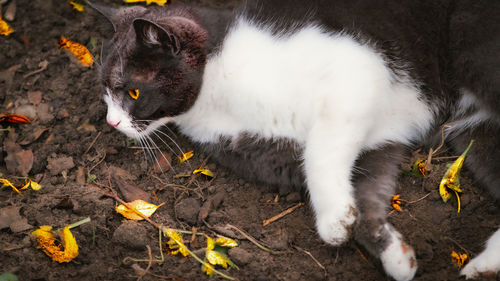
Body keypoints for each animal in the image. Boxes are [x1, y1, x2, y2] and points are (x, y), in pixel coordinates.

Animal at [91, 1, 500, 278]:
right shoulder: (374, 141)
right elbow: (367, 193)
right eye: (106, 93)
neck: (215, 89)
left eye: (133, 92)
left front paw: (334, 222)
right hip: (478, 132)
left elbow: (320, 152)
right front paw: (395, 256)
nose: (111, 121)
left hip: (473, 47)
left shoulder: (358, 74)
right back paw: (484, 266)